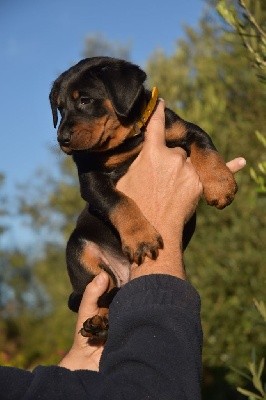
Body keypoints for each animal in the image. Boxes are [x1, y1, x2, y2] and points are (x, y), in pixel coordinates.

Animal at [50, 56, 237, 344]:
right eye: (59, 108)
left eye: (85, 100)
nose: (62, 139)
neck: (129, 140)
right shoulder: (90, 180)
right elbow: (117, 201)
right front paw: (140, 237)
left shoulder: (185, 129)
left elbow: (205, 147)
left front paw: (221, 185)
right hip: (80, 252)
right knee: (100, 297)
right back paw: (98, 323)